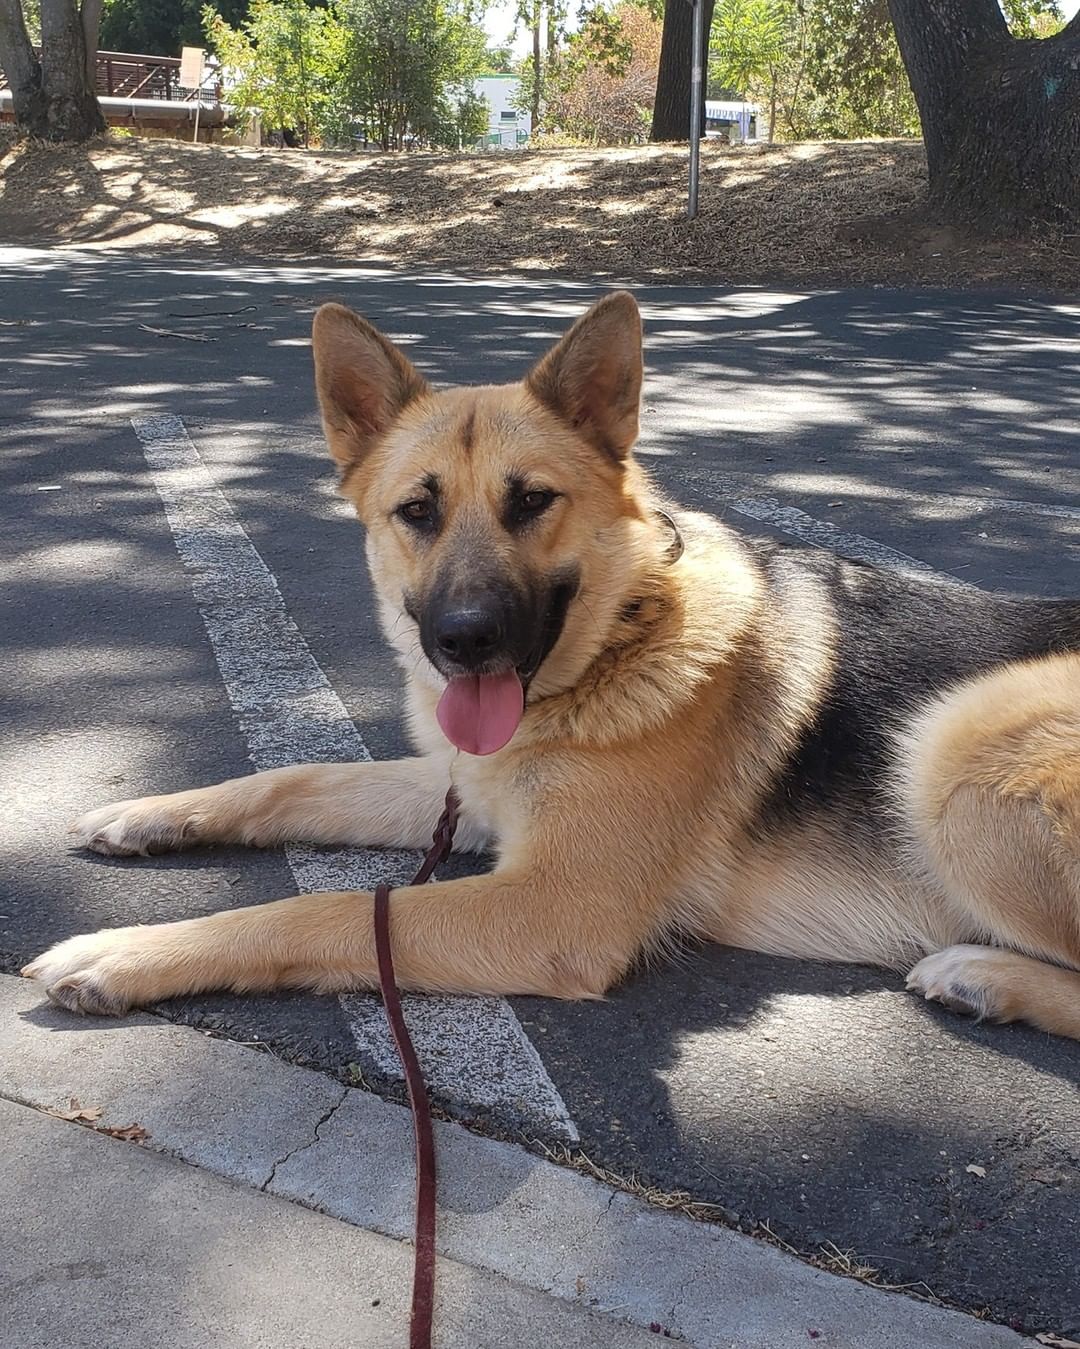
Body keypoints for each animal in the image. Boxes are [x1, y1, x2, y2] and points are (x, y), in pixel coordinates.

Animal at [21, 295, 1078, 1041]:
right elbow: (291, 779)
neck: (624, 641)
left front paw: (126, 949)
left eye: (532, 501)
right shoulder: (462, 787)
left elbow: (326, 909)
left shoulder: (551, 907)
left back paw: (987, 975)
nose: (464, 639)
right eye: (416, 511)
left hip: (954, 752)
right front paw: (150, 814)